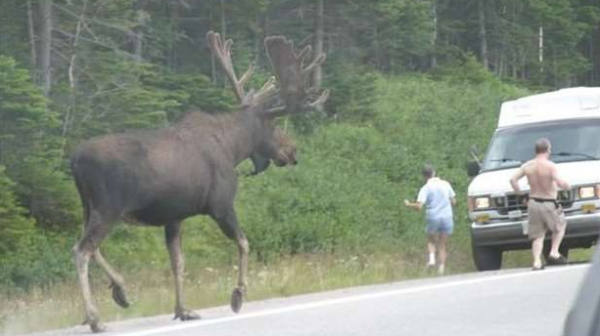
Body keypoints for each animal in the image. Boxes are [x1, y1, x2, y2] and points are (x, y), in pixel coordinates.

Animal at [70, 32, 328, 334]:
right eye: (275, 126)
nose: (292, 151)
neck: (233, 147)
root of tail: (74, 159)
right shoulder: (221, 205)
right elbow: (244, 242)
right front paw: (238, 294)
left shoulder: (174, 217)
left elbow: (178, 261)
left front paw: (183, 309)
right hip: (109, 208)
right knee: (82, 249)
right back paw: (95, 318)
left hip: (88, 206)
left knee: (87, 246)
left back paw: (119, 291)